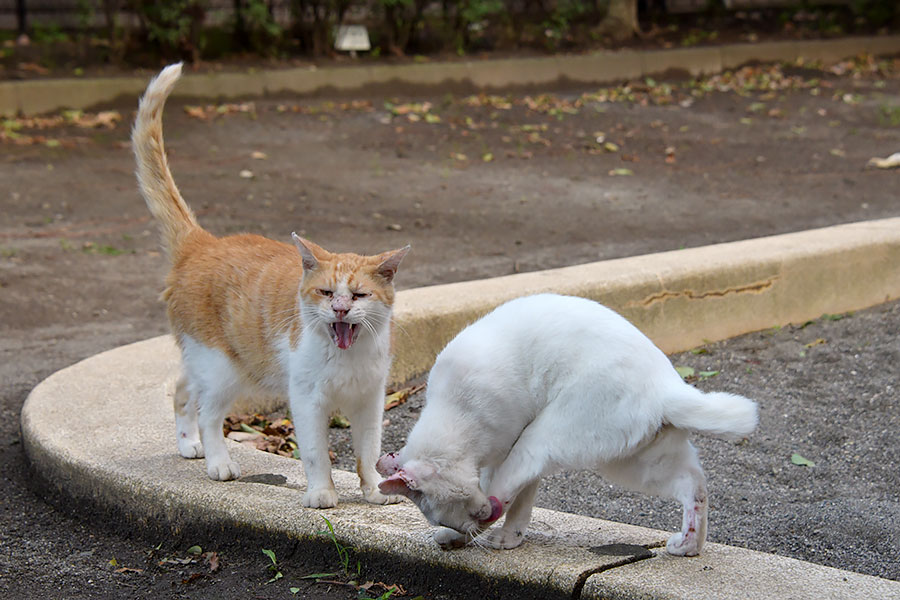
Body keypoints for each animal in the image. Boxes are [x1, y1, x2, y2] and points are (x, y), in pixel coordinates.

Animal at [132, 63, 410, 508]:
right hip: (223, 368)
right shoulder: (307, 402)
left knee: (182, 391)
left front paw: (373, 492)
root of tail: (202, 242)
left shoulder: (370, 404)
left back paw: (188, 444)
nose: (340, 309)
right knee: (208, 414)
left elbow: (368, 453)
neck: (346, 356)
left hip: (211, 363)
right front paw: (321, 493)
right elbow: (316, 454)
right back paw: (218, 462)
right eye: (326, 292)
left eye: (359, 295)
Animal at [376, 292, 756, 556]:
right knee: (695, 484)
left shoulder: (506, 448)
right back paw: (689, 544)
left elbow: (510, 495)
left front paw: (489, 536)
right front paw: (479, 537)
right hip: (635, 461)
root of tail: (666, 385)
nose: (474, 519)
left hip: (546, 435)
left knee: (508, 485)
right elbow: (522, 499)